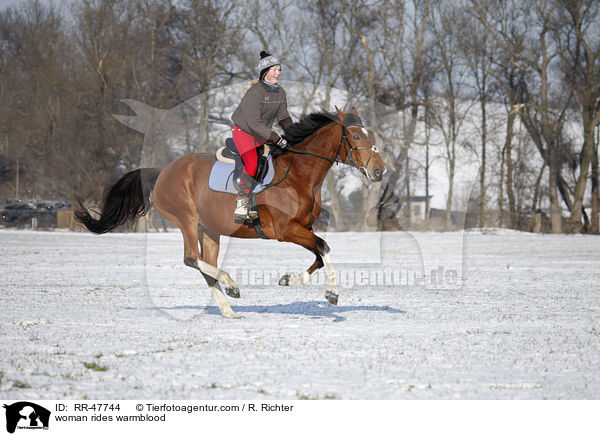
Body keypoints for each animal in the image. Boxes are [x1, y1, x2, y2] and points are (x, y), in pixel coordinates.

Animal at [75, 105, 384, 316]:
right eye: (356, 136)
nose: (379, 171)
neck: (299, 174)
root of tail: (162, 171)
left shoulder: (303, 228)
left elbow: (319, 255)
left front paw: (287, 279)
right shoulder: (286, 230)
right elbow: (324, 247)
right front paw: (332, 293)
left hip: (209, 230)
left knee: (203, 265)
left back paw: (228, 309)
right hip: (186, 219)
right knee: (191, 258)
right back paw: (231, 284)